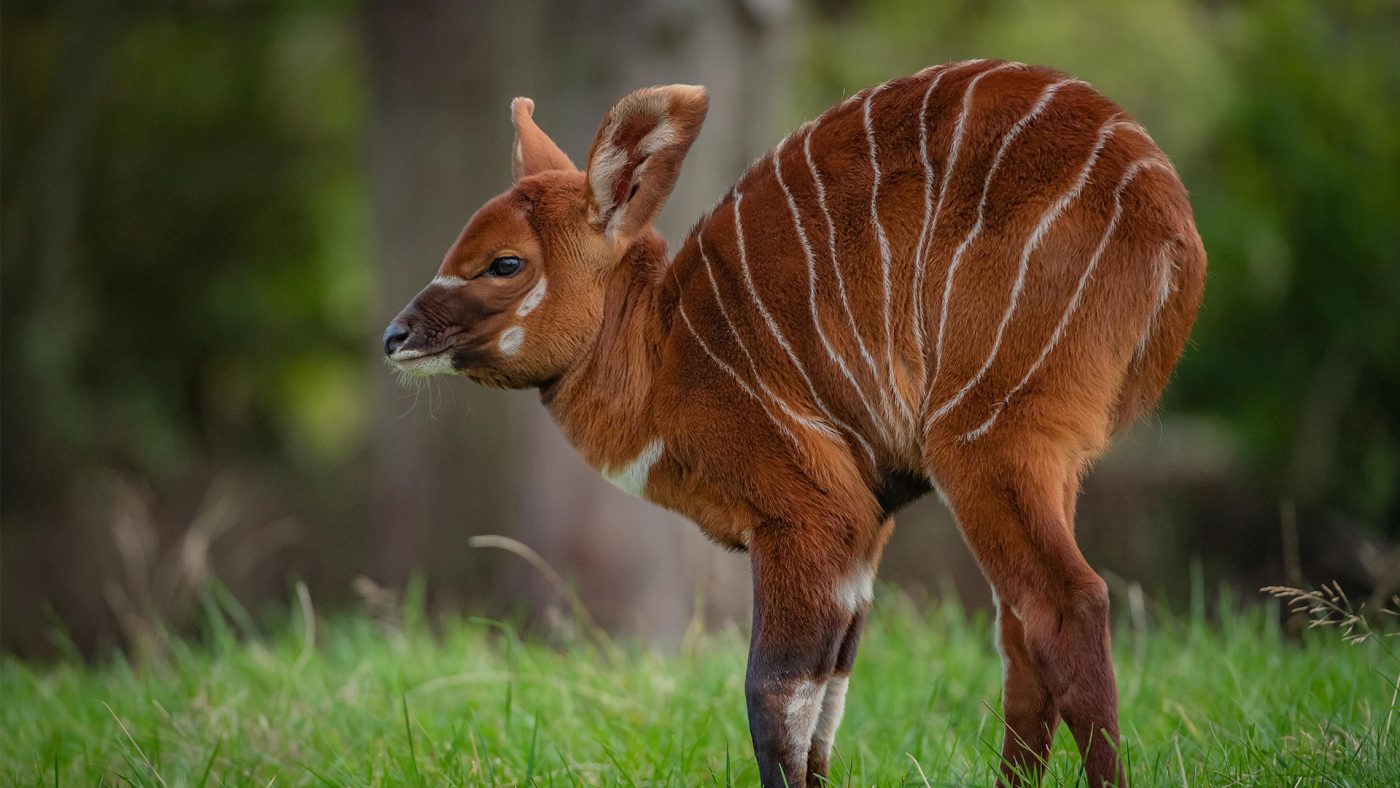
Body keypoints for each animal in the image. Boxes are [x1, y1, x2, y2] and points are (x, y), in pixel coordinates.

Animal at [380, 58, 1204, 783]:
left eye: (505, 263)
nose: (395, 336)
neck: (665, 354)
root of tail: (1174, 233)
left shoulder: (812, 515)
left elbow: (774, 695)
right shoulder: (863, 536)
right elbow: (827, 702)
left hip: (985, 438)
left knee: (1065, 603)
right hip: (1047, 460)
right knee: (1018, 627)